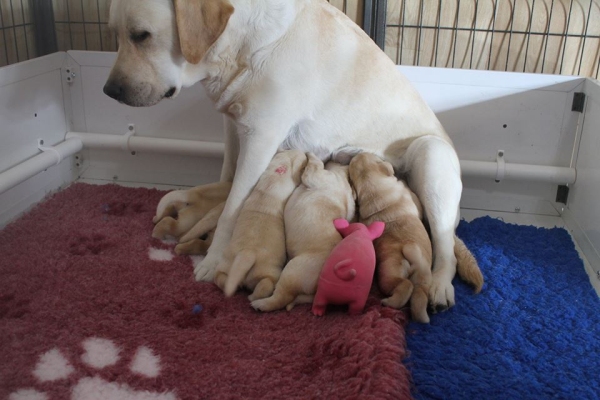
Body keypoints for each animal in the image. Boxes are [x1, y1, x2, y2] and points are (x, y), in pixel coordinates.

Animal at [213, 150, 308, 300]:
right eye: (301, 163)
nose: (303, 152)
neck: (269, 184)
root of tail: (247, 254)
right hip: (268, 271)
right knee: (265, 284)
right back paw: (253, 297)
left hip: (227, 264)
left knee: (220, 277)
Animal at [252, 153, 356, 312]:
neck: (344, 180)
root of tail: (319, 287)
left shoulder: (318, 176)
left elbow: (314, 165)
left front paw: (310, 155)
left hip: (293, 270)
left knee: (281, 298)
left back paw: (259, 304)